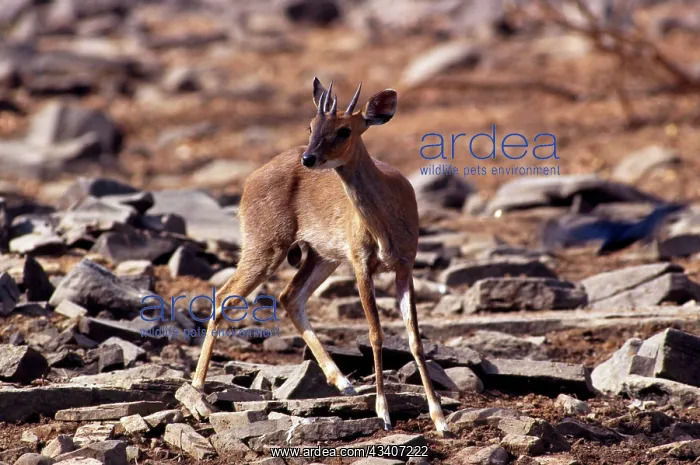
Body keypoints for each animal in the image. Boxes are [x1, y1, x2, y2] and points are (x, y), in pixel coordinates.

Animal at [192, 78, 450, 435]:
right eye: (311, 125)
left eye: (344, 130)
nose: (309, 158)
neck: (387, 223)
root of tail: (247, 183)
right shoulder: (360, 261)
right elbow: (376, 334)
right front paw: (384, 412)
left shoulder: (404, 266)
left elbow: (414, 338)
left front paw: (440, 418)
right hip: (265, 245)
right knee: (226, 297)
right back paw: (198, 395)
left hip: (321, 256)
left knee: (289, 296)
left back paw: (343, 381)